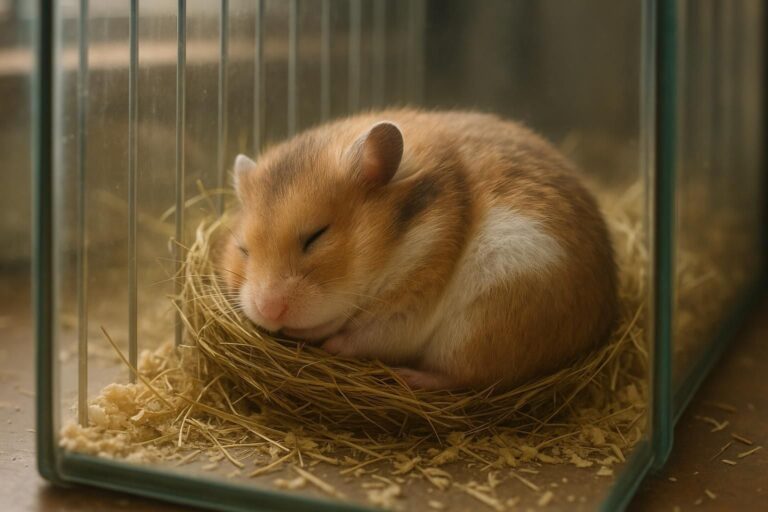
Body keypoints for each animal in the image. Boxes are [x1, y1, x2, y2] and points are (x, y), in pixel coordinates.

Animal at [220, 109, 618, 391]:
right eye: (243, 250)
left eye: (316, 236)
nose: (268, 311)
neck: (399, 246)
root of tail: (603, 321)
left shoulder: (409, 312)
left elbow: (364, 335)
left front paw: (325, 343)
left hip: (480, 323)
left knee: (467, 378)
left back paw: (411, 378)